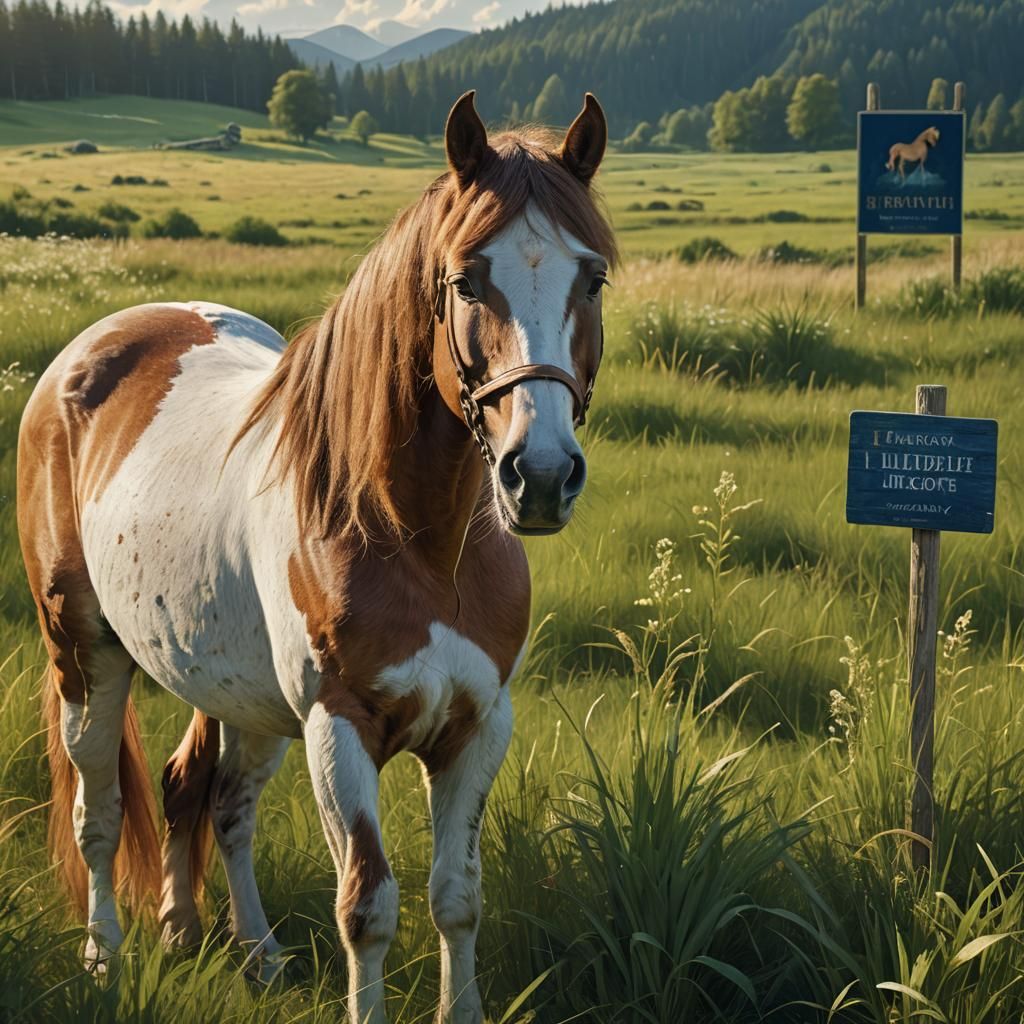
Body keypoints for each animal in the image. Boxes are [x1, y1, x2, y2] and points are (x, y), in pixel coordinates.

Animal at [16, 91, 617, 1023]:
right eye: (464, 279)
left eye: (591, 278)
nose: (543, 476)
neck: (418, 540)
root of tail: (85, 358)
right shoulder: (339, 729)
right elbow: (367, 906)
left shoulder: (479, 725)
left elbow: (458, 897)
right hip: (85, 656)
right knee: (101, 812)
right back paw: (104, 957)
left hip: (238, 692)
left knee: (211, 798)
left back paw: (229, 946)